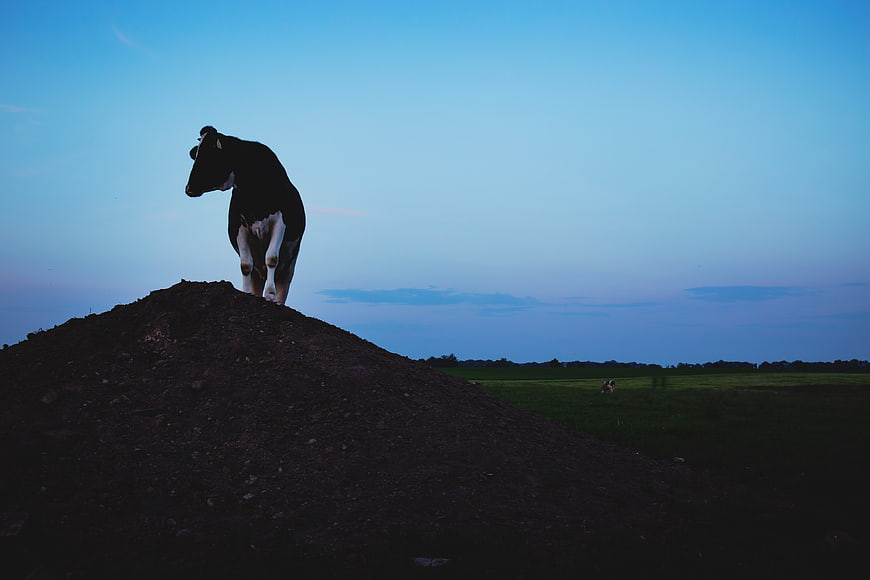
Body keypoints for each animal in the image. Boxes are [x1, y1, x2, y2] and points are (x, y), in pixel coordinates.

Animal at [185, 126, 305, 305]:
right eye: (196, 154)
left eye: (210, 153)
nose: (189, 188)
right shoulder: (238, 226)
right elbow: (245, 265)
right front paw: (246, 293)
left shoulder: (280, 222)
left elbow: (271, 258)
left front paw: (270, 294)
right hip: (258, 272)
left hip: (290, 264)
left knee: (283, 282)